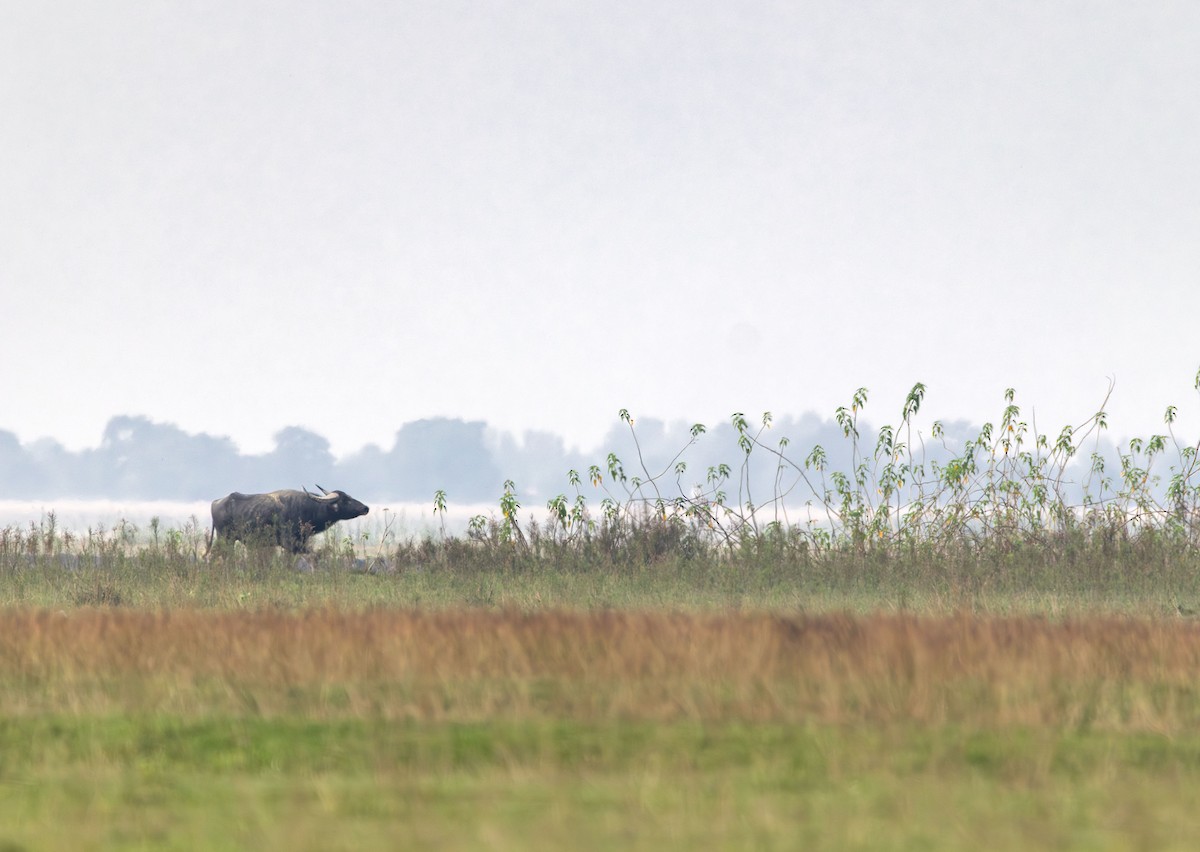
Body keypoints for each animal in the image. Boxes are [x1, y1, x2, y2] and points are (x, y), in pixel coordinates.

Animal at [205, 485, 369, 556]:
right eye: (346, 500)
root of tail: (216, 502)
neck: (307, 507)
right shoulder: (290, 543)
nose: (366, 508)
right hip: (225, 537)